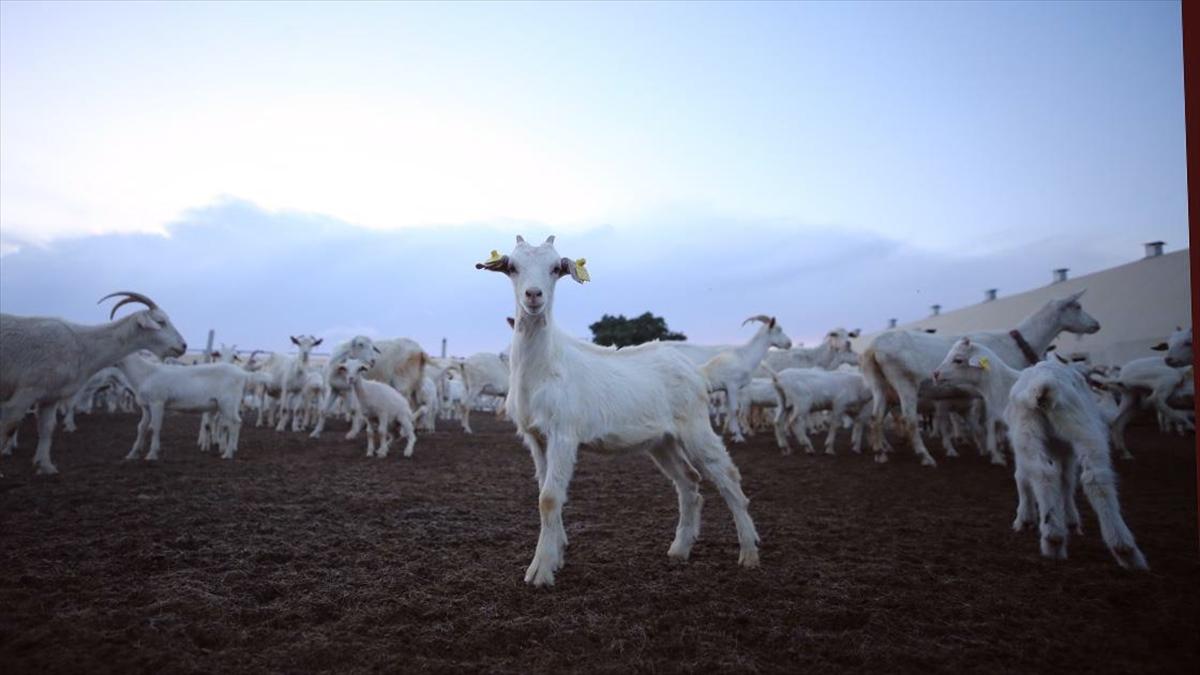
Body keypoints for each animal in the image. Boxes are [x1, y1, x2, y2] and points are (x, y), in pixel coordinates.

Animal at [0, 290, 187, 473]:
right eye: (160, 322)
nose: (183, 346)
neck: (82, 344)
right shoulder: (26, 392)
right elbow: (9, 425)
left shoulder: (50, 396)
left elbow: (47, 428)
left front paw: (46, 466)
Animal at [477, 235, 758, 583]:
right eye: (512, 267)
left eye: (556, 268)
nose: (533, 295)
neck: (544, 365)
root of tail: (699, 372)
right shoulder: (535, 437)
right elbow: (544, 492)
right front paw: (556, 555)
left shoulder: (563, 432)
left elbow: (549, 498)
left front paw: (540, 570)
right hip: (662, 440)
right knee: (689, 480)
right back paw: (680, 549)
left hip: (695, 425)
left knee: (727, 476)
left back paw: (749, 552)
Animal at [859, 289, 1099, 468]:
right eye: (1077, 306)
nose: (1096, 325)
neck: (1016, 343)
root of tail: (872, 348)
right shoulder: (995, 389)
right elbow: (993, 421)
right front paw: (997, 454)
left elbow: (985, 422)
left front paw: (990, 449)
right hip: (905, 382)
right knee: (909, 420)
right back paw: (925, 457)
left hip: (880, 385)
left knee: (875, 418)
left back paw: (881, 453)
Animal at [931, 336, 1147, 566]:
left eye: (958, 359)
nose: (935, 374)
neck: (1003, 388)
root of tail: (1044, 384)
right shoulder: (1062, 447)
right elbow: (1066, 480)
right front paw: (1070, 520)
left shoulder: (1017, 437)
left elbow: (1022, 476)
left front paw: (1025, 519)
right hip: (1082, 427)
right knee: (1096, 478)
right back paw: (1124, 548)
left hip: (1027, 430)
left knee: (1043, 474)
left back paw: (1053, 538)